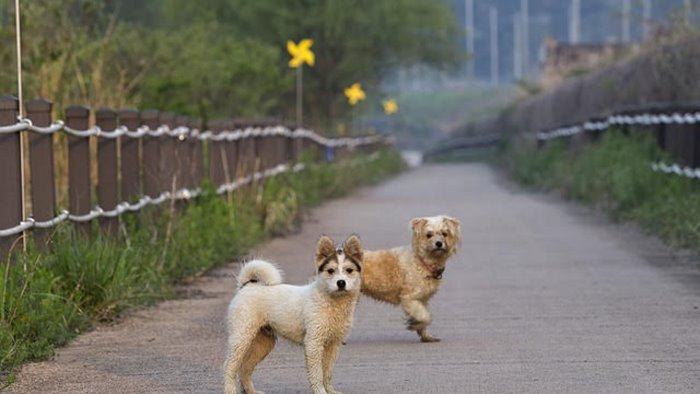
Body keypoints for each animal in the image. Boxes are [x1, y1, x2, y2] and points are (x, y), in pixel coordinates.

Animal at [224, 235, 364, 392]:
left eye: (349, 270)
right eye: (330, 271)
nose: (341, 283)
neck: (331, 301)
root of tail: (246, 286)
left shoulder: (333, 344)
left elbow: (327, 373)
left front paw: (330, 391)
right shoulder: (313, 342)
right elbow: (317, 373)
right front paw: (320, 391)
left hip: (263, 343)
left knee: (245, 368)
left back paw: (252, 391)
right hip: (241, 337)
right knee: (229, 367)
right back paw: (230, 390)